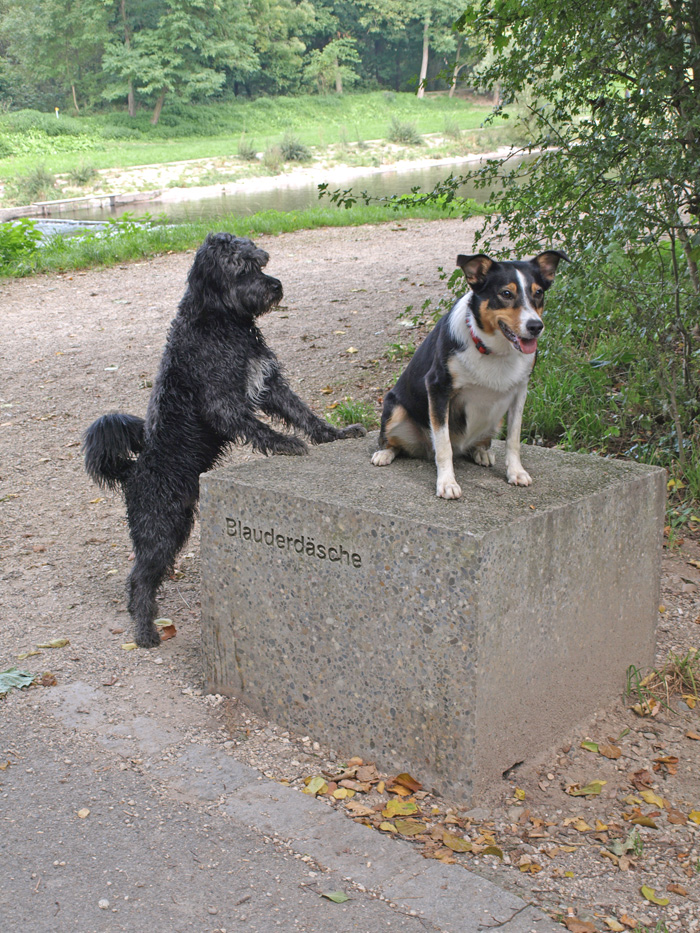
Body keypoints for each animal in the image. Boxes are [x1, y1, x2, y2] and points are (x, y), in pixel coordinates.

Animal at [85, 233, 364, 648]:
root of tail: (132, 472)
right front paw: (286, 444)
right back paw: (145, 631)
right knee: (139, 579)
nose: (275, 286)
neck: (219, 321)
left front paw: (335, 434)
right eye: (241, 268)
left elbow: (303, 412)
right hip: (162, 528)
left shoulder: (268, 383)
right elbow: (259, 428)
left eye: (260, 262)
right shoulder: (222, 403)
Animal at [372, 248, 568, 496]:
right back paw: (384, 453)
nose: (535, 326)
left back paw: (481, 451)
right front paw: (447, 482)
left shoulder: (520, 391)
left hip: (496, 419)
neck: (493, 350)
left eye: (539, 292)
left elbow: (513, 440)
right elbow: (443, 445)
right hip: (395, 410)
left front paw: (515, 472)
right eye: (506, 293)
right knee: (394, 440)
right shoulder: (438, 388)